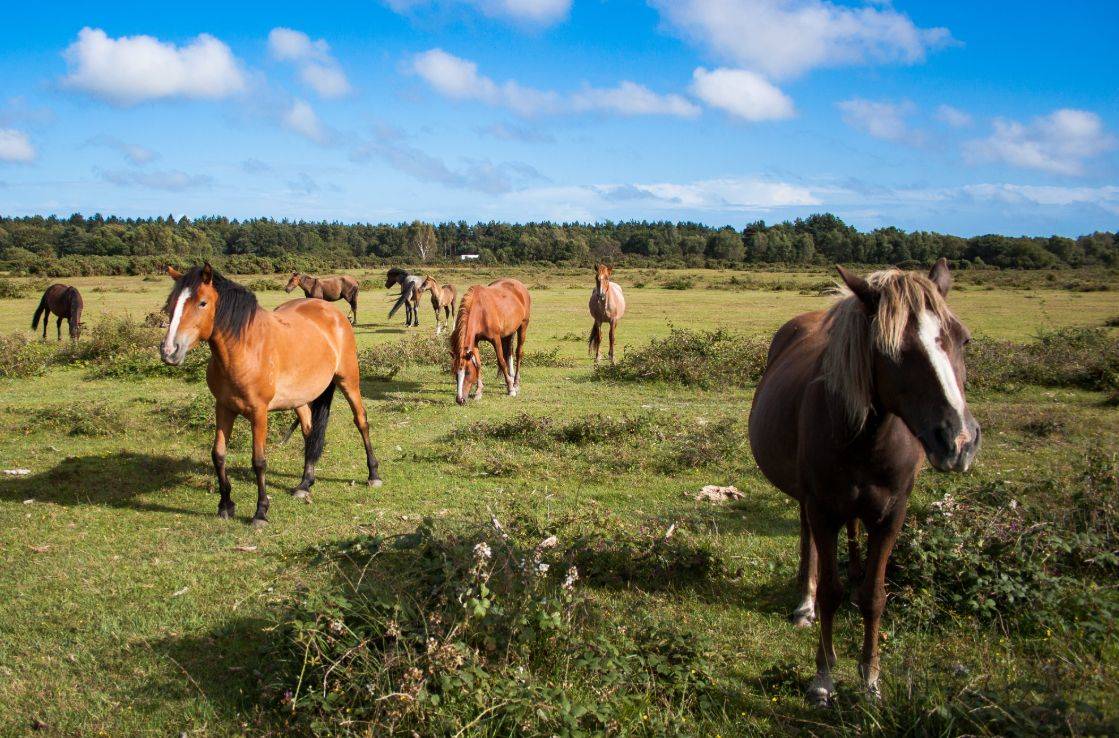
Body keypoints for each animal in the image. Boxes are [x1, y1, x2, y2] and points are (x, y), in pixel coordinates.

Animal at [160, 262, 382, 527]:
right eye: (171, 302)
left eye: (202, 303)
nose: (169, 351)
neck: (245, 349)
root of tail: (332, 312)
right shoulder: (223, 407)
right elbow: (218, 454)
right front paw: (225, 505)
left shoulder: (259, 412)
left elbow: (259, 461)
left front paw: (260, 512)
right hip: (300, 398)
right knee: (309, 432)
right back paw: (304, 484)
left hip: (348, 380)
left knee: (361, 421)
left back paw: (373, 474)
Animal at [449, 278, 528, 407]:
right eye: (455, 373)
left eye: (467, 373)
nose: (460, 400)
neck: (481, 311)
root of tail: (518, 284)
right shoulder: (475, 342)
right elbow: (478, 364)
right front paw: (478, 391)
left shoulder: (495, 339)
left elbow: (501, 361)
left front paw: (511, 389)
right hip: (508, 333)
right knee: (509, 352)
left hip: (523, 325)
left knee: (518, 353)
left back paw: (515, 383)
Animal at [751, 259, 980, 702]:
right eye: (891, 351)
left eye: (962, 338)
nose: (958, 440)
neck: (868, 438)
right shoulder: (823, 507)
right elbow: (830, 592)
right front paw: (823, 678)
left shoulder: (892, 514)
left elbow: (875, 595)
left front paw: (870, 678)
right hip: (809, 500)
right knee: (808, 541)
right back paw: (804, 603)